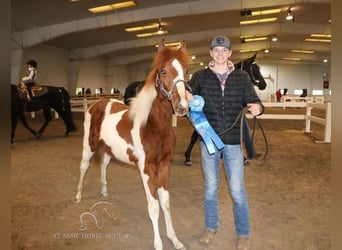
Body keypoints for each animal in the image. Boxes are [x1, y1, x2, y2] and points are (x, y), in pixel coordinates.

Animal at [74, 41, 190, 250]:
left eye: (186, 71)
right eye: (162, 71)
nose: (182, 107)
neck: (152, 126)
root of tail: (96, 104)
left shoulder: (164, 165)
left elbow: (166, 203)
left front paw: (175, 240)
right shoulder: (146, 168)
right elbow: (153, 206)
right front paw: (158, 244)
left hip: (108, 150)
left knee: (103, 166)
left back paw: (104, 192)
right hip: (89, 146)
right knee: (83, 167)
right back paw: (78, 196)